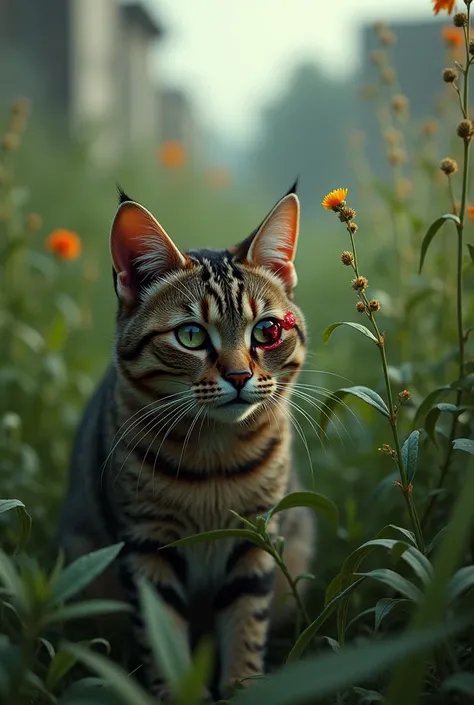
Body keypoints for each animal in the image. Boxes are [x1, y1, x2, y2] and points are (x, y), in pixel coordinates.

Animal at [59, 184, 314, 700]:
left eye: (267, 331)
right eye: (192, 336)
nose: (238, 376)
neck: (213, 458)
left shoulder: (255, 538)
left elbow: (245, 627)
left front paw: (243, 688)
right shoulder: (146, 545)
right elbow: (163, 640)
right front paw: (178, 692)